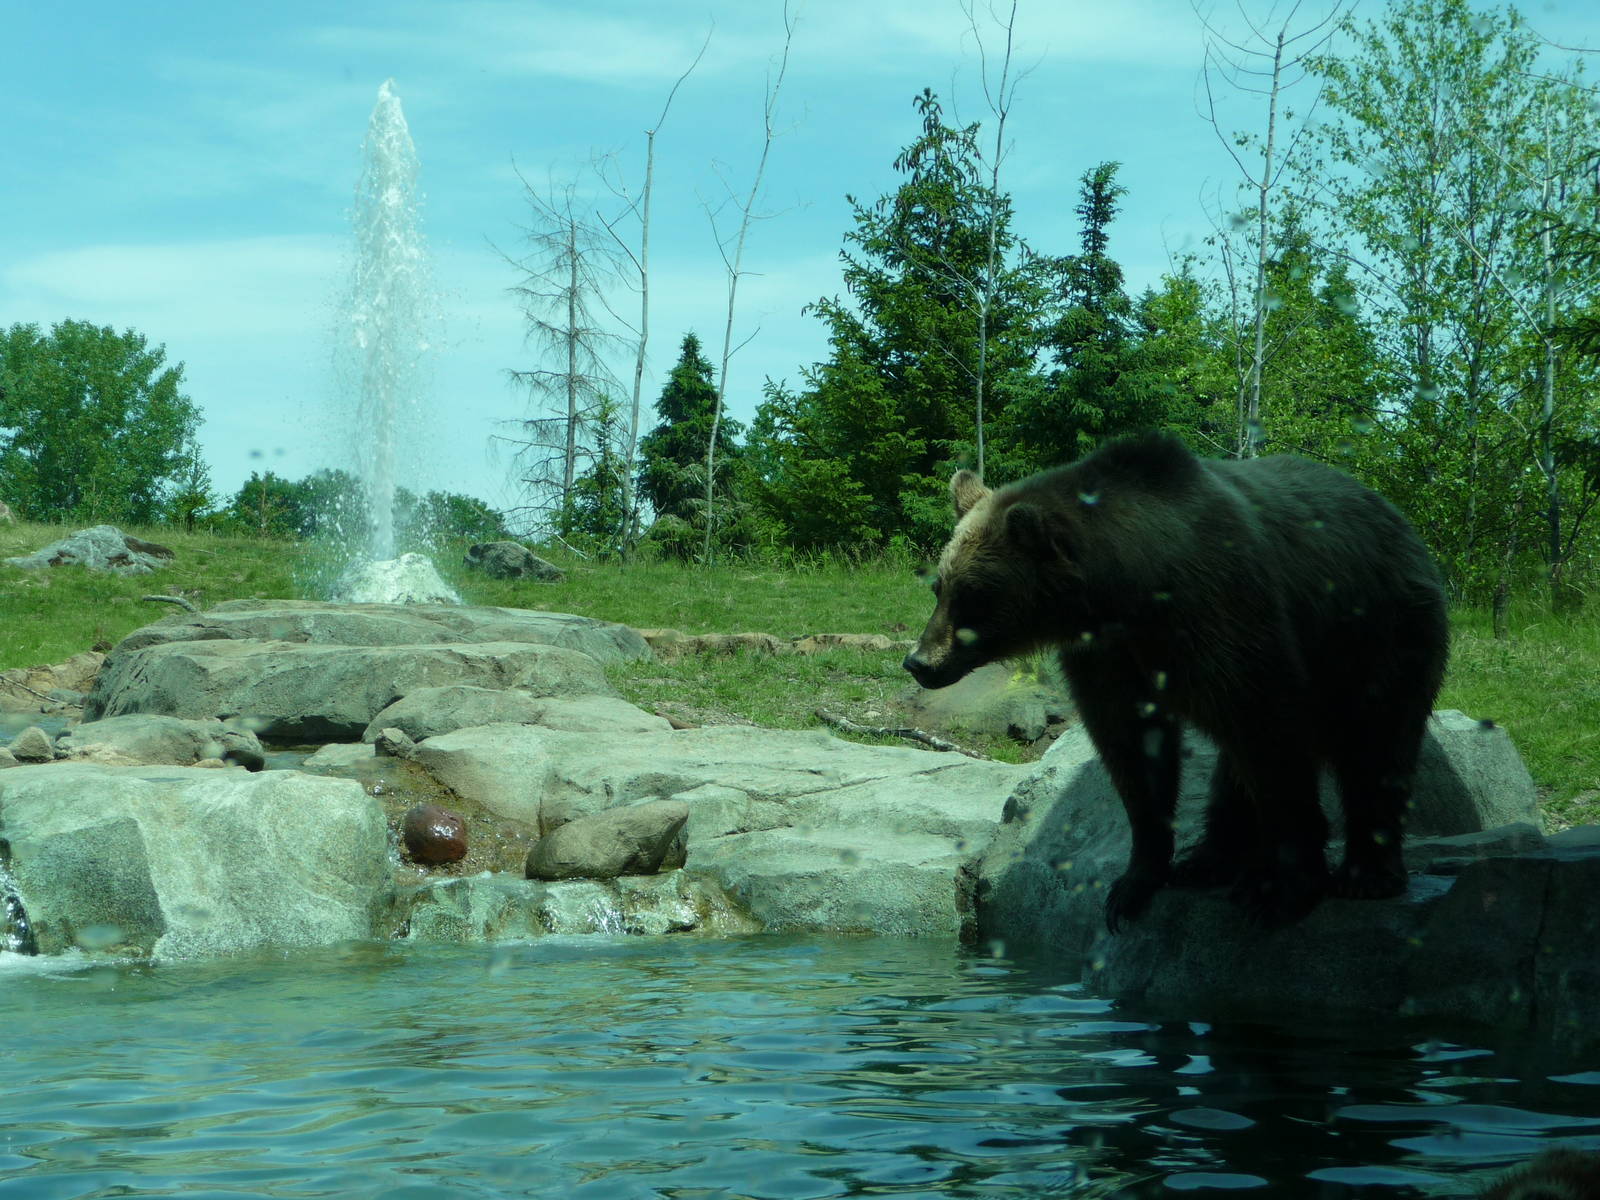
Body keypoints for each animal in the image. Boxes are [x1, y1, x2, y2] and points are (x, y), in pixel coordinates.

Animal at [903, 431, 1449, 930]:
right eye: (939, 586)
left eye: (973, 595)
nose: (920, 661)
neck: (1128, 593)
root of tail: (1394, 515)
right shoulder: (1110, 656)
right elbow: (1132, 750)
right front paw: (1134, 882)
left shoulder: (1224, 619)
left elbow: (1271, 739)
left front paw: (1285, 888)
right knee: (1236, 768)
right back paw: (1211, 859)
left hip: (1376, 634)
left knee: (1376, 741)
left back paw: (1366, 874)